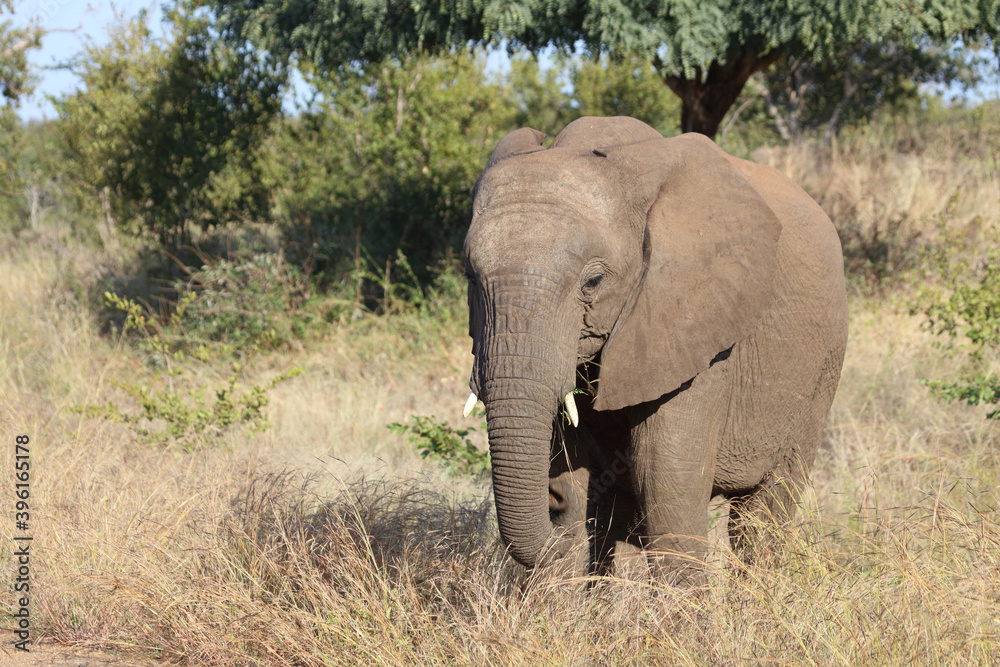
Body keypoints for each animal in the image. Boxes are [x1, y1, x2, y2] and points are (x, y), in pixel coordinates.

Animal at [464, 116, 848, 580]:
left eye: (593, 283)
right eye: (469, 276)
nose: (554, 504)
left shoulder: (697, 323)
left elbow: (666, 479)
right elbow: (576, 462)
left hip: (822, 368)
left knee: (763, 511)